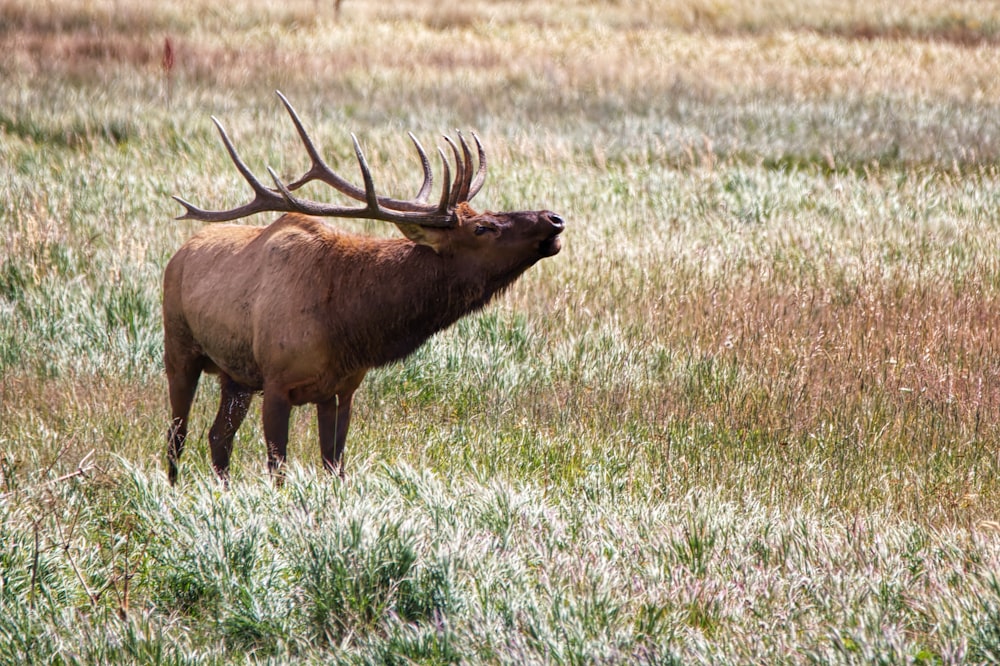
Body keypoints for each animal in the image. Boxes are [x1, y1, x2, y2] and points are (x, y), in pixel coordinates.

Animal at [164, 92, 564, 482]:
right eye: (482, 228)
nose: (554, 218)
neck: (347, 326)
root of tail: (179, 253)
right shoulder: (277, 381)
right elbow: (278, 468)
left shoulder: (342, 388)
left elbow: (335, 465)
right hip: (180, 348)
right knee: (177, 434)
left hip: (236, 376)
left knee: (218, 436)